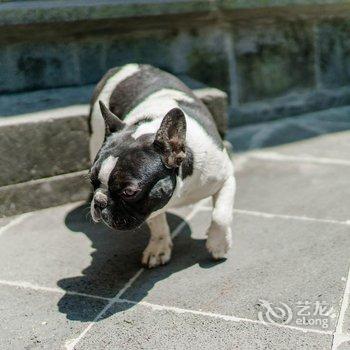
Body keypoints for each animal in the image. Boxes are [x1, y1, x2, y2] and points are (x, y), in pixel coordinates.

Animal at [88, 63, 235, 268]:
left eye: (129, 192)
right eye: (91, 180)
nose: (100, 201)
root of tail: (127, 65)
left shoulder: (226, 177)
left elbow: (221, 214)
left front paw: (218, 243)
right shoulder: (151, 202)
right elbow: (156, 222)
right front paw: (159, 247)